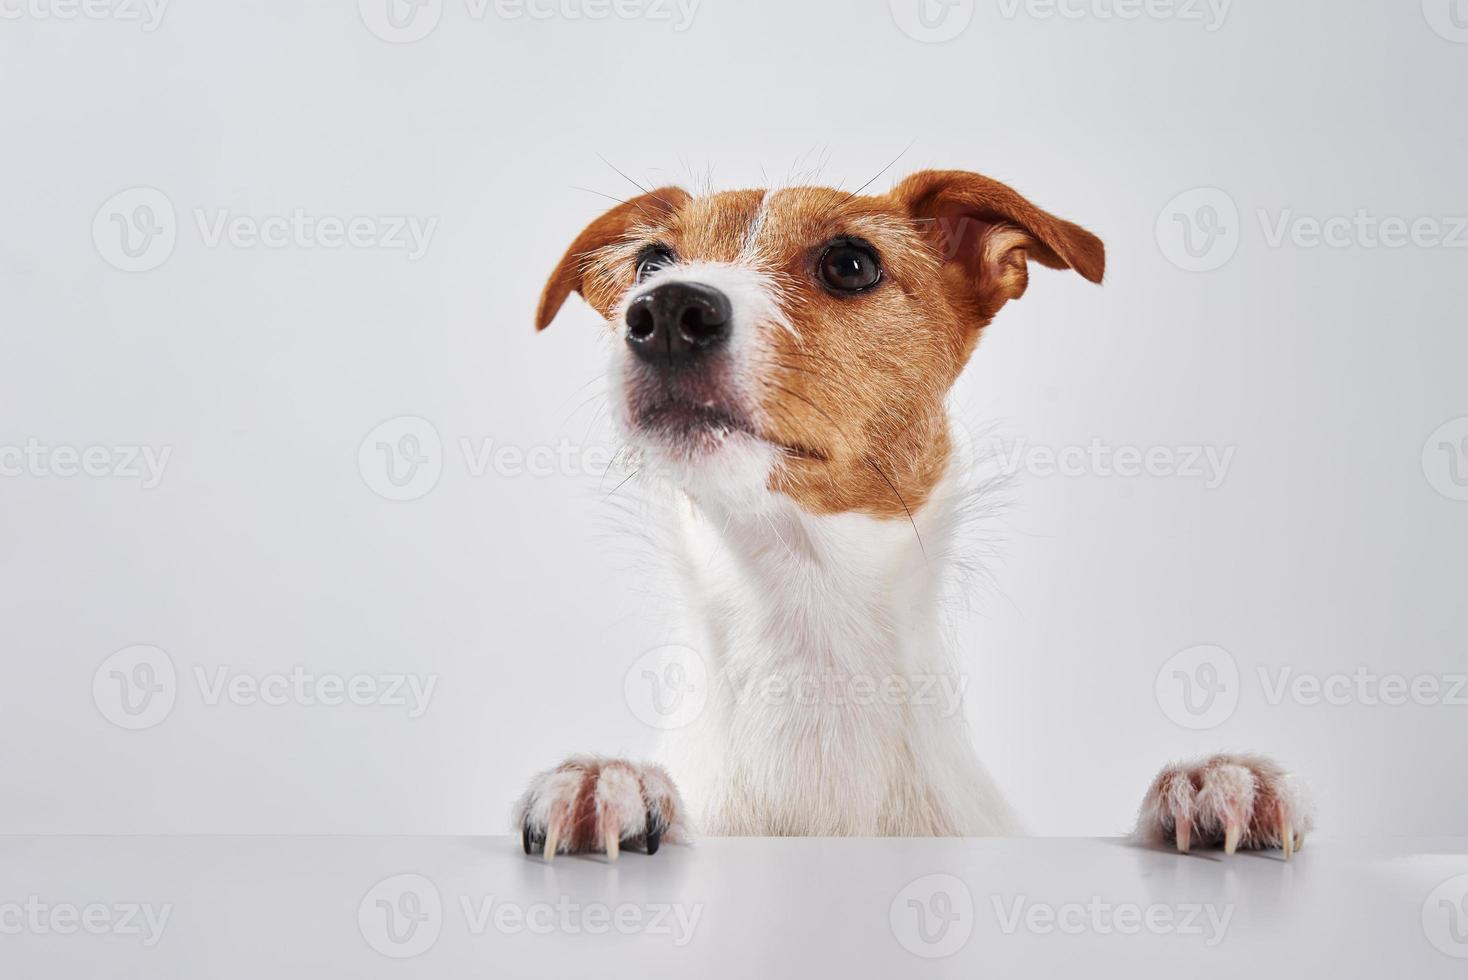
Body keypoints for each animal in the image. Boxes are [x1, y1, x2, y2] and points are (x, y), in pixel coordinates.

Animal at [513, 172, 1309, 862]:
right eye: (650, 262)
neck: (809, 629)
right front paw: (609, 781)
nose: (666, 313)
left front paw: (1209, 782)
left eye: (851, 263)